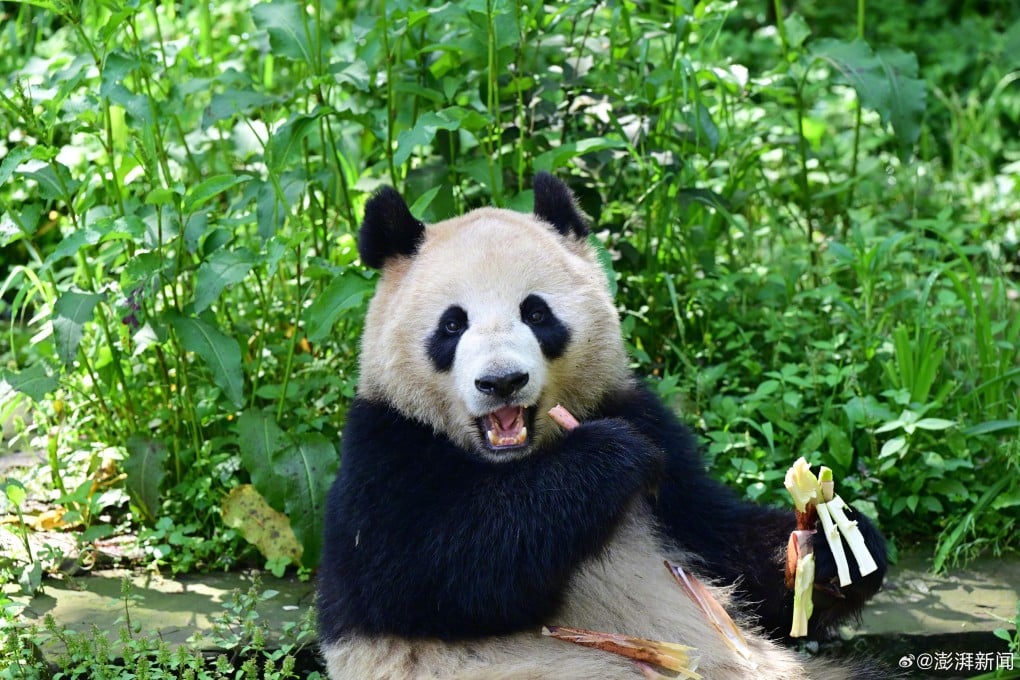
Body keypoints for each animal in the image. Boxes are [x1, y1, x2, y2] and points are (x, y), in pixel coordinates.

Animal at [316, 173, 888, 679]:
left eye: (536, 313)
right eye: (452, 324)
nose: (502, 381)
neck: (515, 462)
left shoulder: (640, 417)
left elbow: (722, 544)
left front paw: (832, 548)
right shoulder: (385, 447)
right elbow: (425, 573)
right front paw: (611, 457)